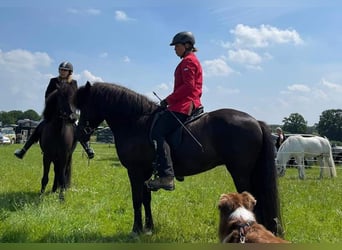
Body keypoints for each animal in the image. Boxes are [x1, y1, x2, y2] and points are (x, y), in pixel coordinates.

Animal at [74, 82, 280, 236]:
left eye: (85, 106)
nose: (79, 133)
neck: (136, 122)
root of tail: (256, 121)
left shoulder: (135, 171)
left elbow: (136, 199)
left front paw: (136, 229)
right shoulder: (146, 173)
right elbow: (146, 199)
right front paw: (148, 228)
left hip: (240, 173)